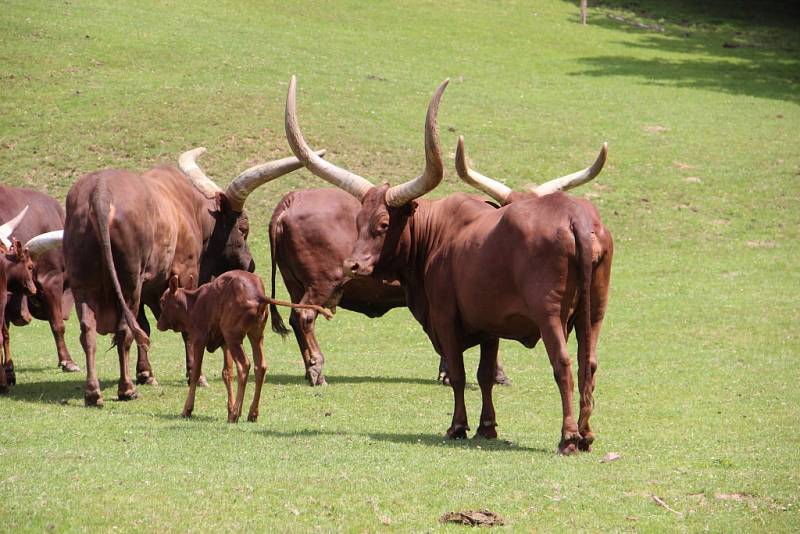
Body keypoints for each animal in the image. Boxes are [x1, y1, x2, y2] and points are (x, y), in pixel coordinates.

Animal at [63, 147, 318, 406]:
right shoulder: (186, 274)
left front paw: (146, 373)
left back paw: (93, 391)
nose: (251, 264)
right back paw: (126, 389)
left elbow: (144, 327)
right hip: (128, 283)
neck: (190, 210)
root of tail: (100, 191)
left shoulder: (149, 287)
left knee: (88, 331)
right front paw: (196, 374)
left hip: (84, 284)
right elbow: (185, 328)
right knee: (124, 331)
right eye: (243, 229)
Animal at [156, 274, 332, 426]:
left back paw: (235, 415)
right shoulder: (225, 344)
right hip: (255, 334)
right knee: (260, 366)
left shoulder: (199, 338)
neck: (193, 304)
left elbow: (196, 372)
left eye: (162, 301)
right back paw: (251, 413)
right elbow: (227, 373)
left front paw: (188, 409)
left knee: (244, 365)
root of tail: (259, 295)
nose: (158, 324)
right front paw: (231, 407)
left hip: (233, 335)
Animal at [282, 77, 612, 454]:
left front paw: (458, 426)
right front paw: (487, 427)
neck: (438, 233)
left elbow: (458, 373)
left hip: (550, 315)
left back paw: (568, 436)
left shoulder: (445, 317)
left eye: (383, 223)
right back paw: (586, 434)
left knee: (564, 364)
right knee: (589, 362)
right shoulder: (490, 324)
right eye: (358, 221)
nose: (351, 265)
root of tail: (575, 218)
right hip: (594, 312)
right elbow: (484, 375)